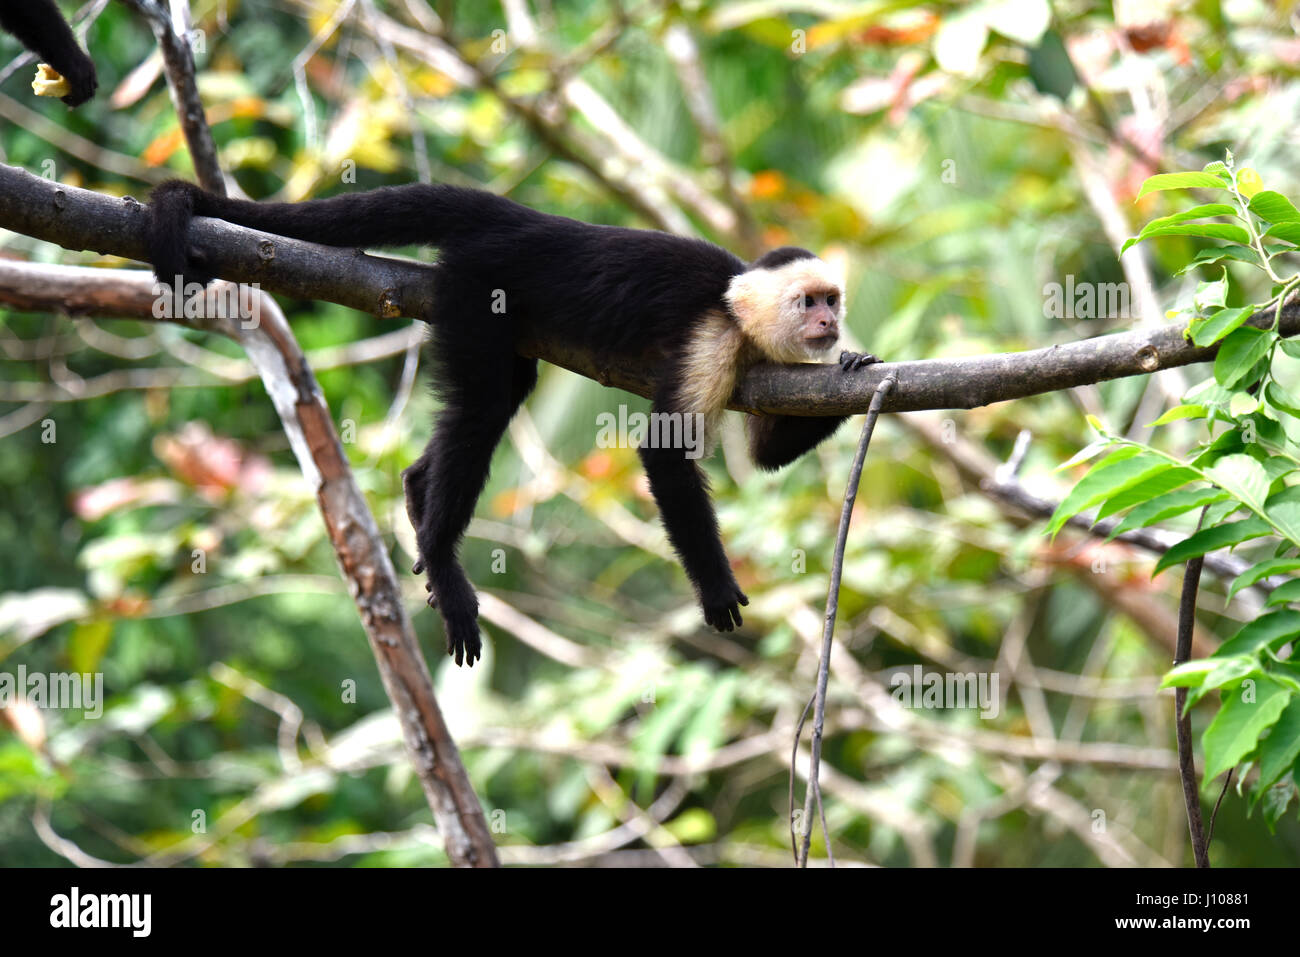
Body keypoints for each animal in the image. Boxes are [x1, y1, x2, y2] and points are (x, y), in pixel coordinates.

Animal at [144, 183, 883, 670]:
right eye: (807, 301)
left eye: (832, 300)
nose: (829, 323)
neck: (739, 317)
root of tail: (521, 219)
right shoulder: (712, 339)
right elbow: (665, 455)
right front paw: (716, 587)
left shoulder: (755, 359)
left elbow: (763, 455)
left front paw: (853, 367)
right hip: (478, 286)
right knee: (482, 408)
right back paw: (442, 551)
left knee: (492, 400)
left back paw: (417, 491)